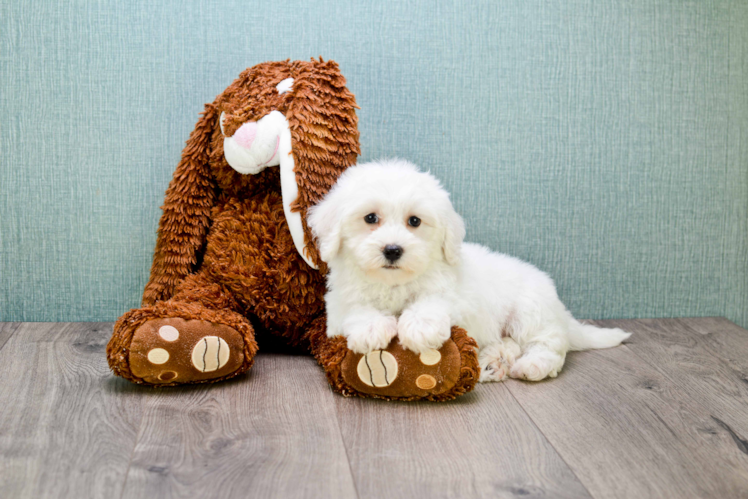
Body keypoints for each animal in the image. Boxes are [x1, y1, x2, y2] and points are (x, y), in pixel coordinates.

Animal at [310, 158, 632, 380]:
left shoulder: (453, 295)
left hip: (531, 311)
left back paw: (531, 365)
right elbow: (356, 309)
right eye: (370, 218)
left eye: (414, 221)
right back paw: (492, 361)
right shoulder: (338, 305)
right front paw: (372, 327)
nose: (392, 249)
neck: (394, 284)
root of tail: (560, 311)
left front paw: (419, 328)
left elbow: (431, 302)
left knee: (548, 344)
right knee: (511, 343)